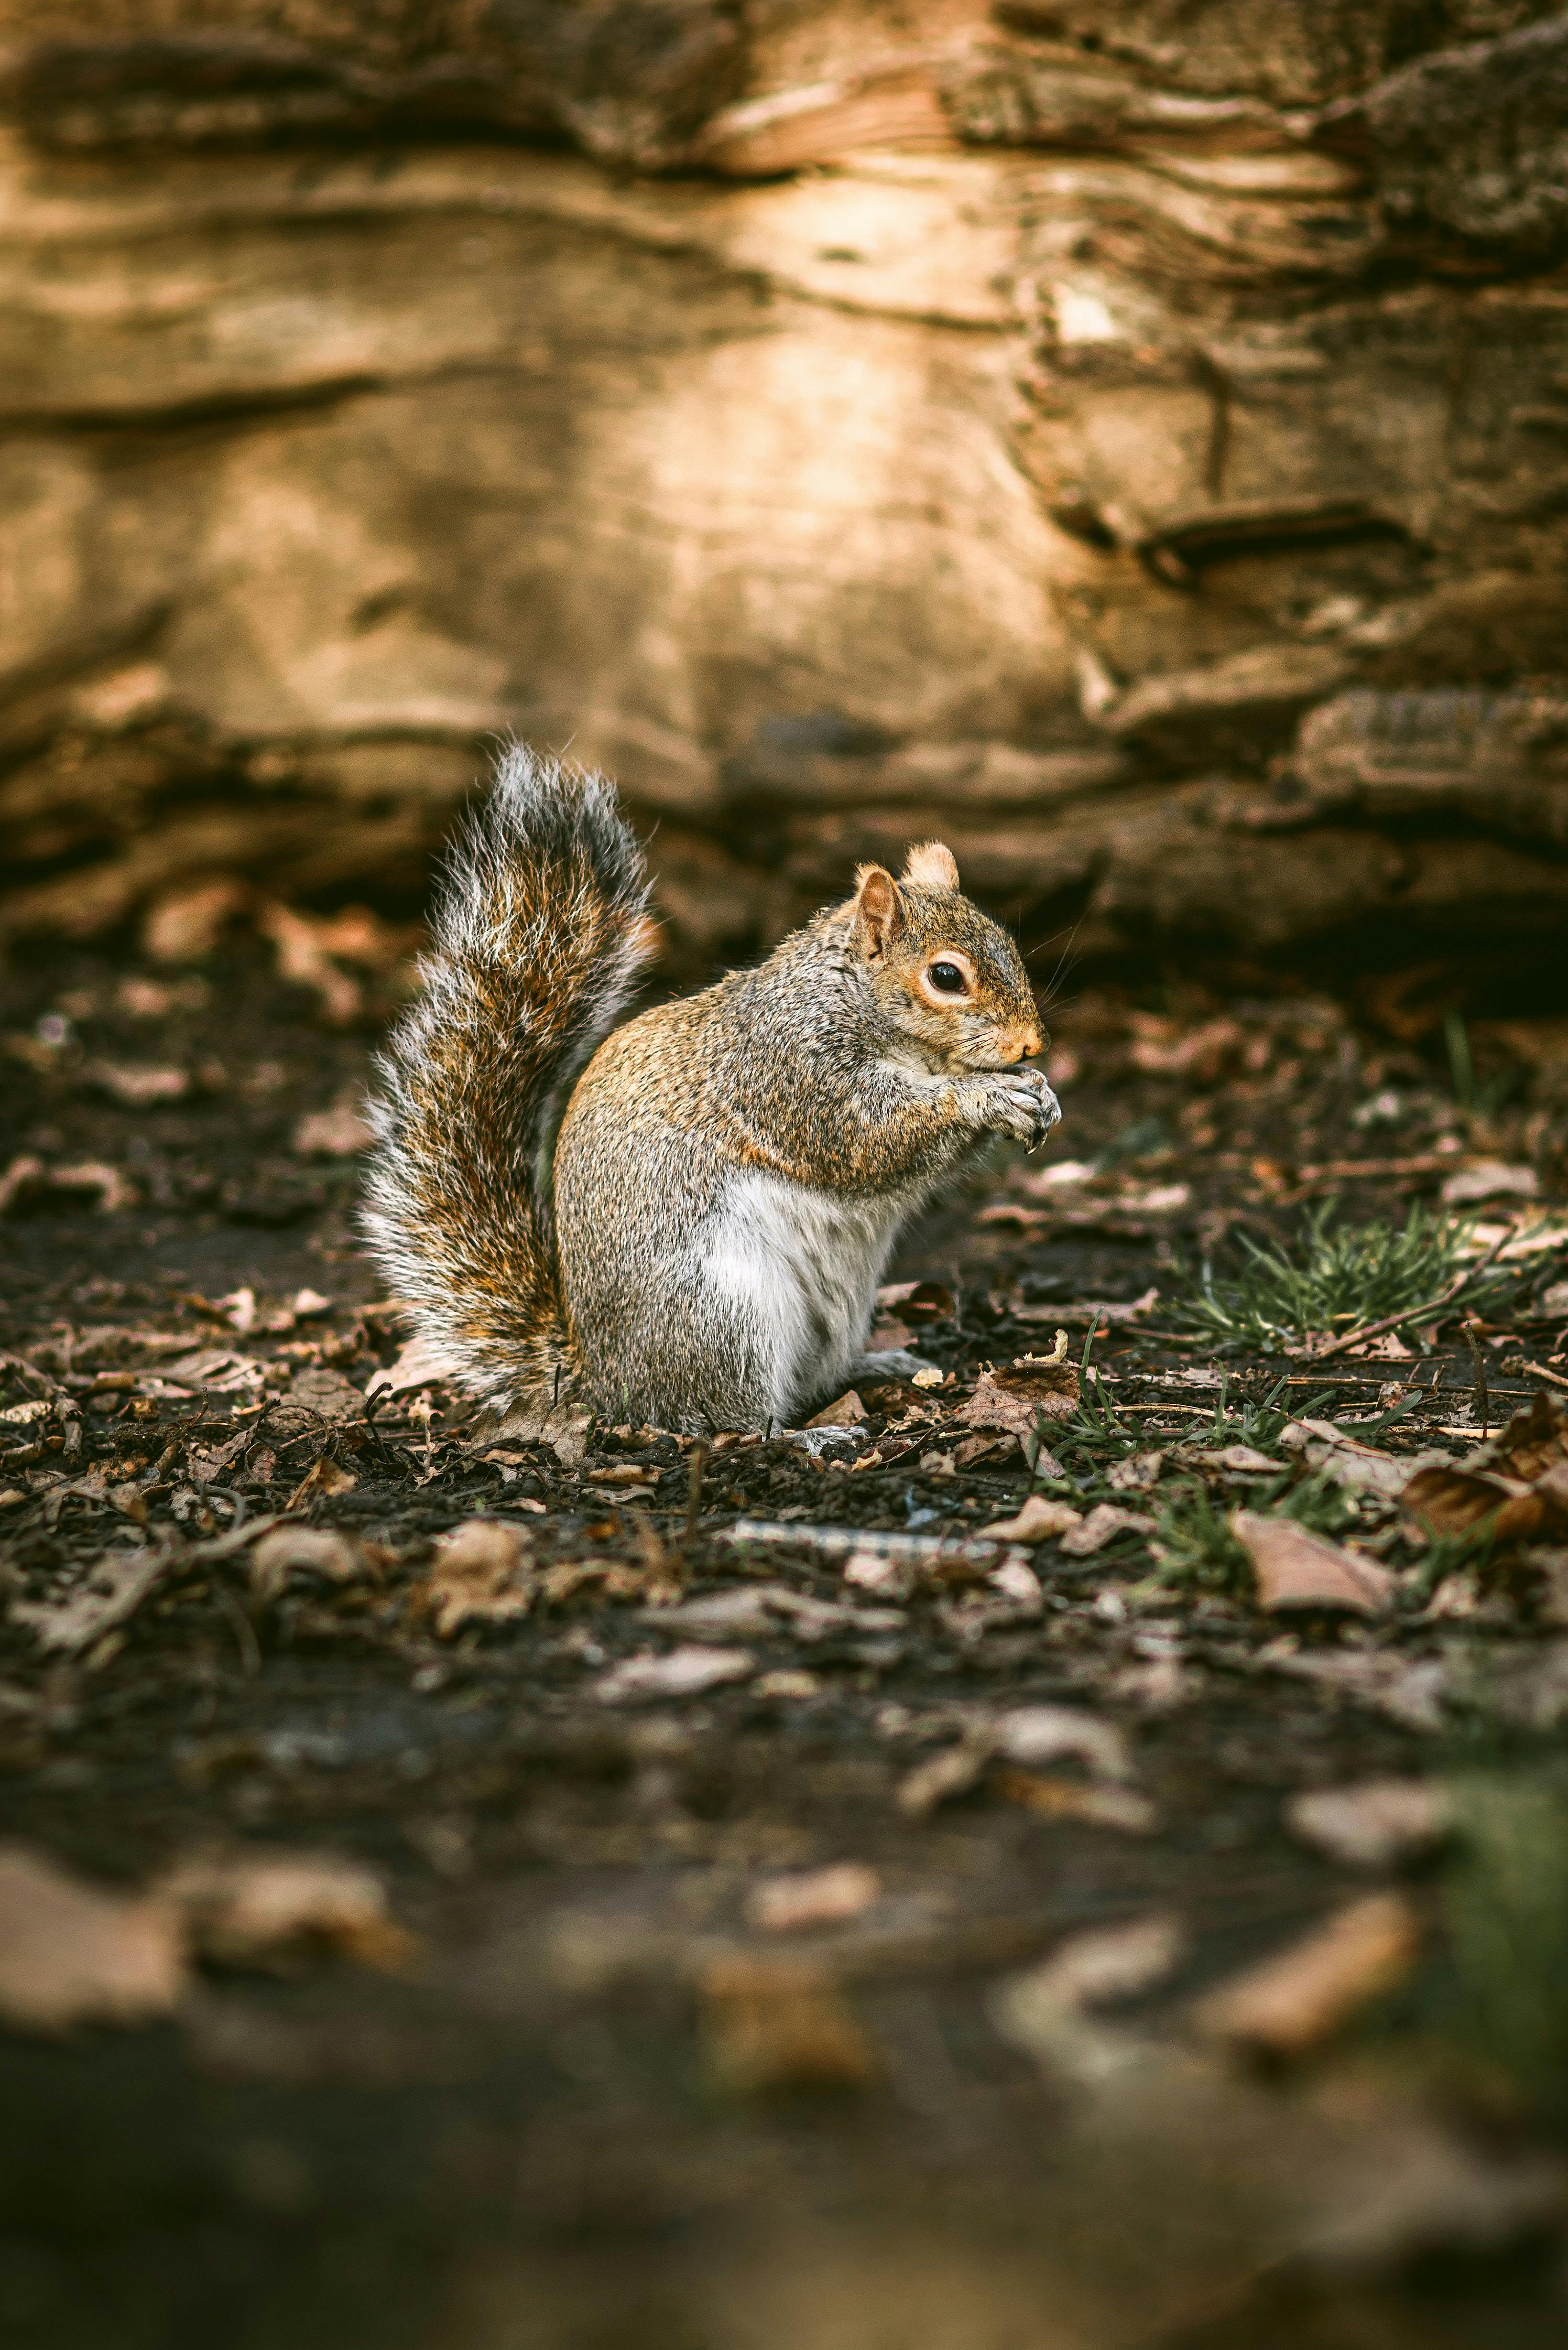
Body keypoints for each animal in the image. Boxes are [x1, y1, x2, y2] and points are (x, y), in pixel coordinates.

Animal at [362, 752, 1062, 1438]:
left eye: (1006, 939)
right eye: (945, 976)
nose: (1032, 1044)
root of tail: (603, 1381)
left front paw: (1040, 1094)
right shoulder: (791, 1074)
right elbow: (868, 1138)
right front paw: (984, 1097)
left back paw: (879, 1363)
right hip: (725, 1313)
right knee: (727, 1418)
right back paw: (805, 1434)